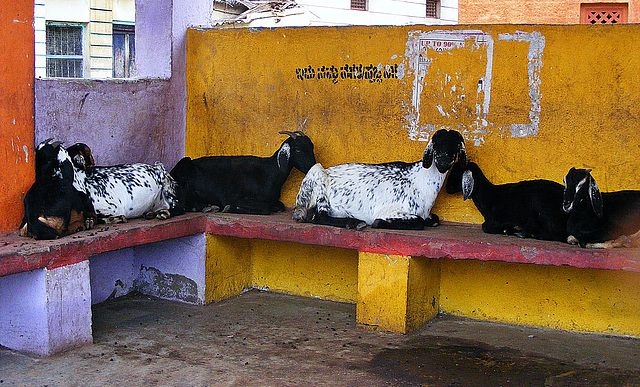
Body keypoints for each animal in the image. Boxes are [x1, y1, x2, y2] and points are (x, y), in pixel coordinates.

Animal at [292, 130, 468, 230]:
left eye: (455, 145)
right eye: (436, 144)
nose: (443, 161)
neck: (421, 180)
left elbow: (434, 219)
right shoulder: (389, 210)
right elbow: (419, 222)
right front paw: (379, 223)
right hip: (317, 174)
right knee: (318, 216)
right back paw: (354, 223)